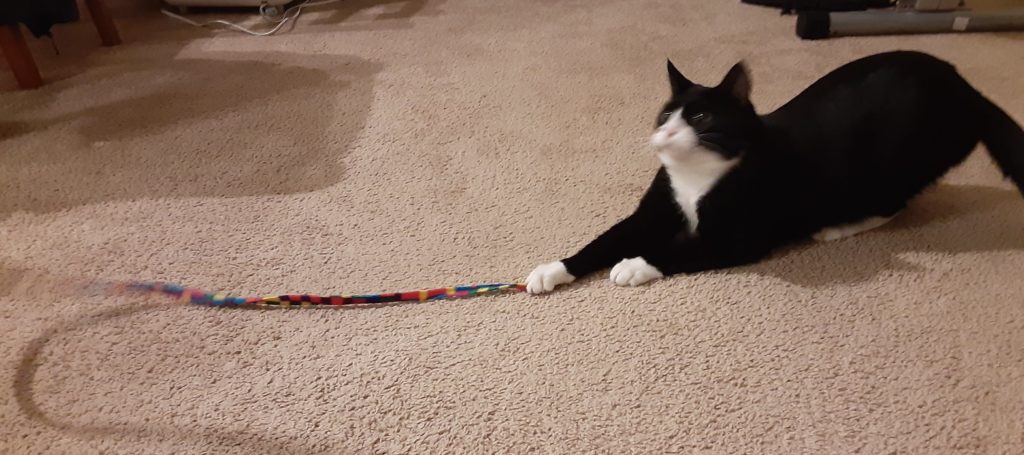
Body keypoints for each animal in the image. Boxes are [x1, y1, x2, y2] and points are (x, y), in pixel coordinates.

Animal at [528, 48, 1024, 291]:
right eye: (665, 114)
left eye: (700, 118)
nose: (664, 133)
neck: (696, 179)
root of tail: (966, 87)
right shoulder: (651, 213)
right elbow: (604, 240)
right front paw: (552, 270)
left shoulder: (737, 240)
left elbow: (678, 249)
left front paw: (634, 266)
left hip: (896, 160)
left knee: (893, 203)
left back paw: (838, 227)